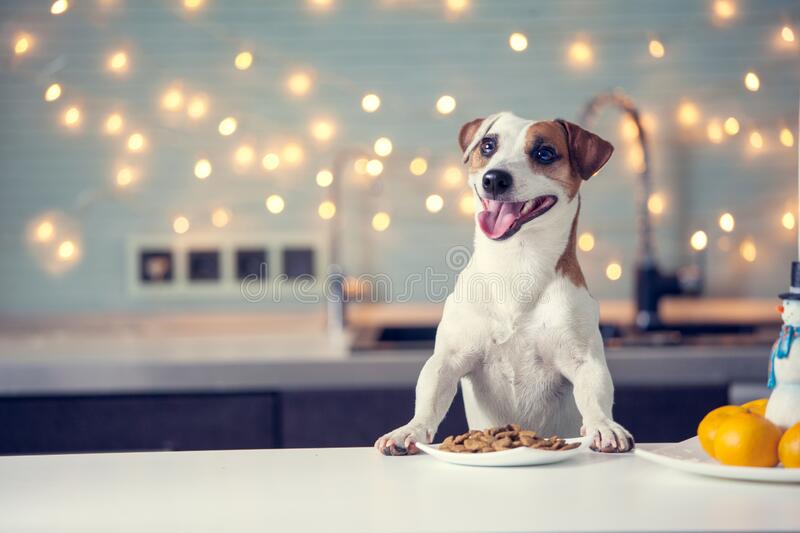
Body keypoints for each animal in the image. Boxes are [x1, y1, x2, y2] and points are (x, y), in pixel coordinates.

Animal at [378, 111, 636, 454]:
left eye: (544, 152)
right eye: (488, 145)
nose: (494, 178)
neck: (517, 264)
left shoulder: (583, 360)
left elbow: (594, 395)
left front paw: (603, 426)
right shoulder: (449, 358)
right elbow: (430, 395)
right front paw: (410, 430)